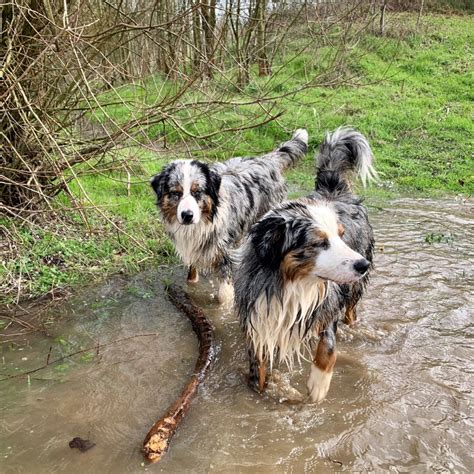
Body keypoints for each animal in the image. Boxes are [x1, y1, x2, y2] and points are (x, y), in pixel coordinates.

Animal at [150, 128, 310, 302]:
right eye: (175, 193)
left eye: (197, 192)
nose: (187, 215)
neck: (204, 221)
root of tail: (267, 160)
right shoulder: (193, 251)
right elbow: (191, 278)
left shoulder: (224, 254)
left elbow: (223, 295)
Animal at [235, 128, 376, 402]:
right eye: (319, 242)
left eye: (341, 235)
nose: (361, 265)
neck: (293, 284)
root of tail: (332, 187)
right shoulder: (259, 318)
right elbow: (259, 369)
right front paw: (262, 393)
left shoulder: (328, 304)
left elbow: (328, 346)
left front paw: (318, 383)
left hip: (353, 290)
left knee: (351, 312)